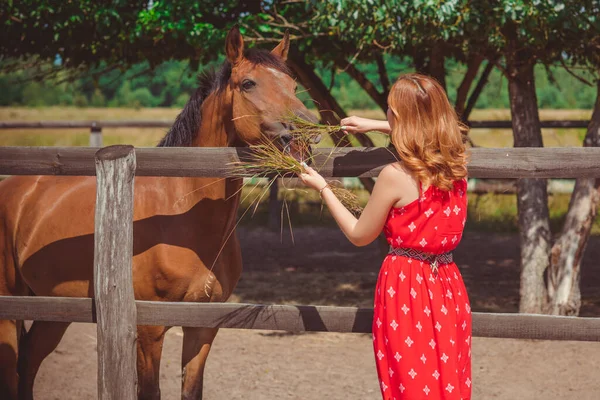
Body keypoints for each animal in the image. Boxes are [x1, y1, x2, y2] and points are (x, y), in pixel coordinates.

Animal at [0, 26, 316, 398]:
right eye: (248, 83)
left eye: (293, 84)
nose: (307, 131)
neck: (182, 219)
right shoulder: (149, 329)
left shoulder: (203, 327)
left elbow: (191, 389)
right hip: (10, 308)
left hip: (53, 308)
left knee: (28, 361)